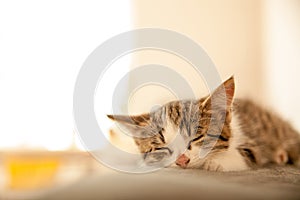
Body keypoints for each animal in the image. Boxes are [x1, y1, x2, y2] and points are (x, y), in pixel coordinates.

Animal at [107, 77, 300, 171]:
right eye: (162, 147)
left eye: (196, 138)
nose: (182, 160)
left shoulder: (252, 143)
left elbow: (247, 154)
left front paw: (218, 162)